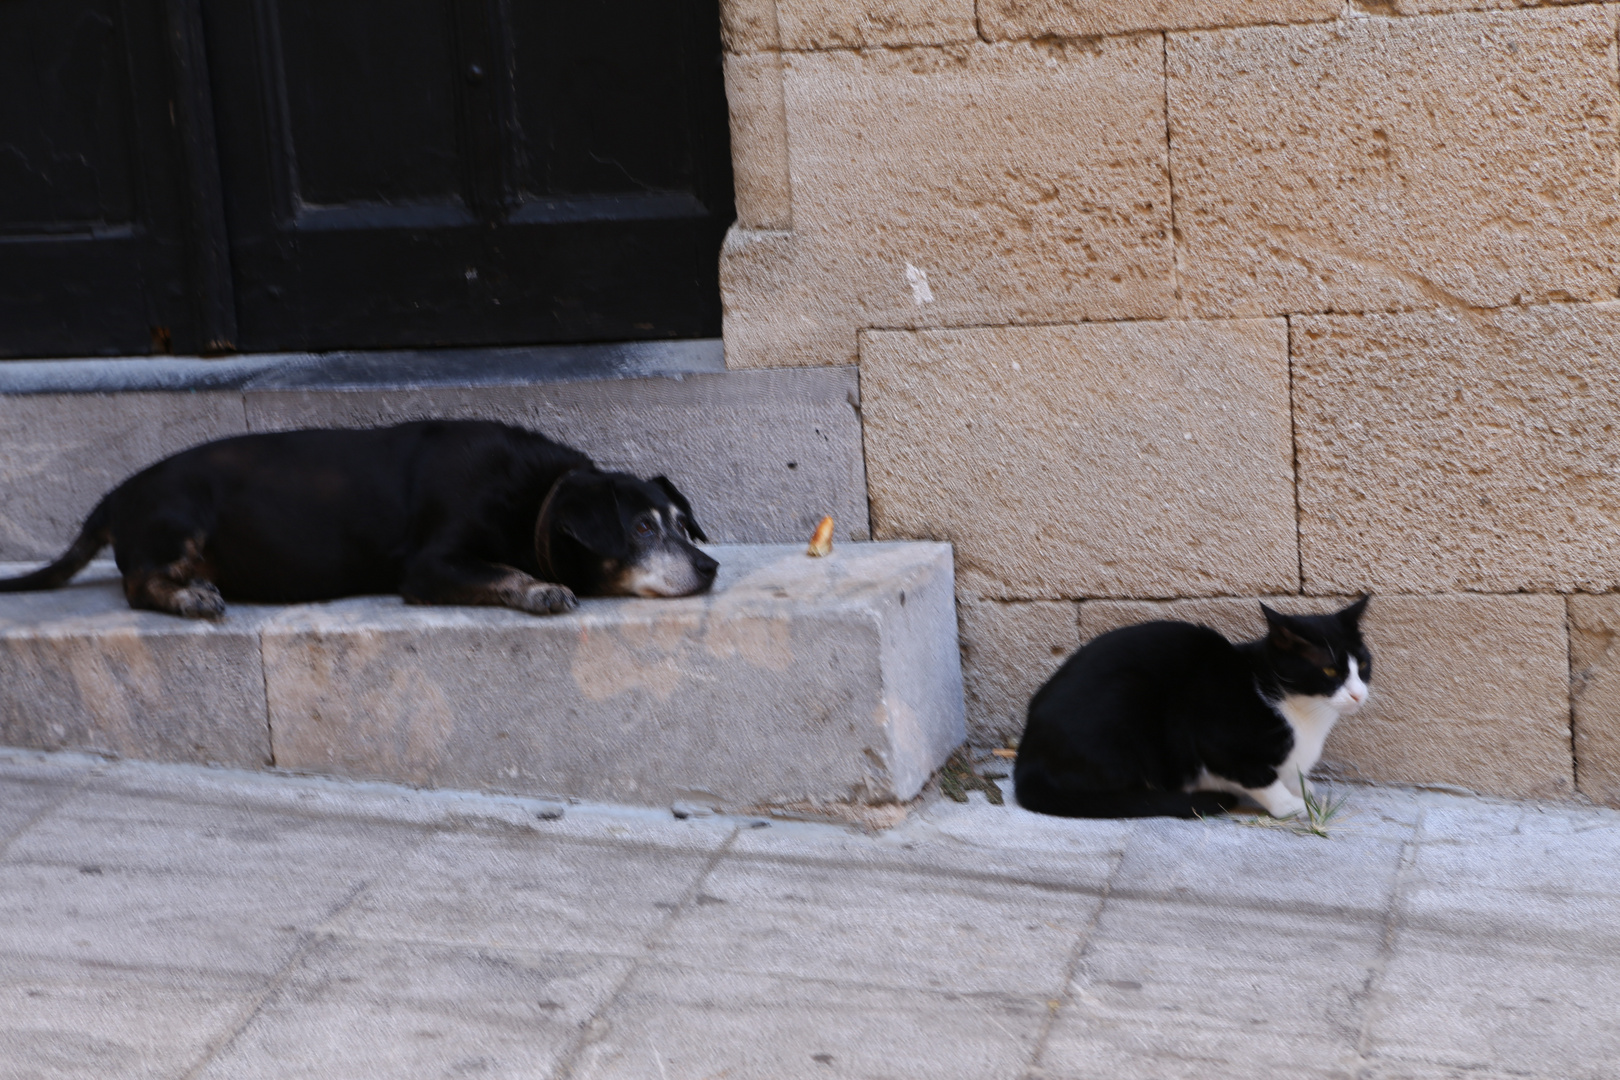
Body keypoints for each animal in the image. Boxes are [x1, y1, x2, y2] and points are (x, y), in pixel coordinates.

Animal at [0, 424, 716, 621]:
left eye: (684, 523)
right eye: (643, 529)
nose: (710, 566)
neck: (538, 500)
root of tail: (116, 495)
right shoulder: (430, 565)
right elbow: (502, 572)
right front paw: (540, 588)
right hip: (178, 515)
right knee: (136, 584)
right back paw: (188, 597)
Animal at [1010, 599, 1367, 819]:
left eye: (1363, 664)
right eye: (1330, 671)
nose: (1359, 694)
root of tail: (1026, 761)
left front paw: (1302, 789)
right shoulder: (1214, 739)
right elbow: (1258, 776)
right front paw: (1288, 805)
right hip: (1123, 700)